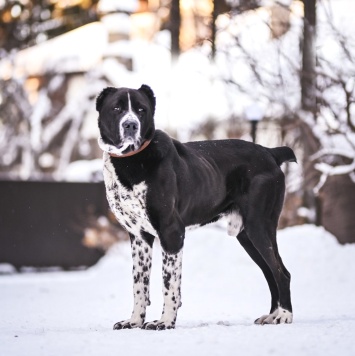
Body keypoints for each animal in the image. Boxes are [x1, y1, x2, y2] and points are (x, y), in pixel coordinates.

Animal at [96, 85, 298, 330]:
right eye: (117, 108)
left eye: (141, 110)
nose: (131, 125)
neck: (132, 160)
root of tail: (270, 152)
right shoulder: (139, 236)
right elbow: (139, 285)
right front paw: (134, 321)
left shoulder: (172, 232)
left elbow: (169, 283)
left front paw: (165, 321)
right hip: (247, 236)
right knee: (270, 273)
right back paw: (272, 315)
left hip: (259, 226)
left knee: (282, 273)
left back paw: (284, 315)